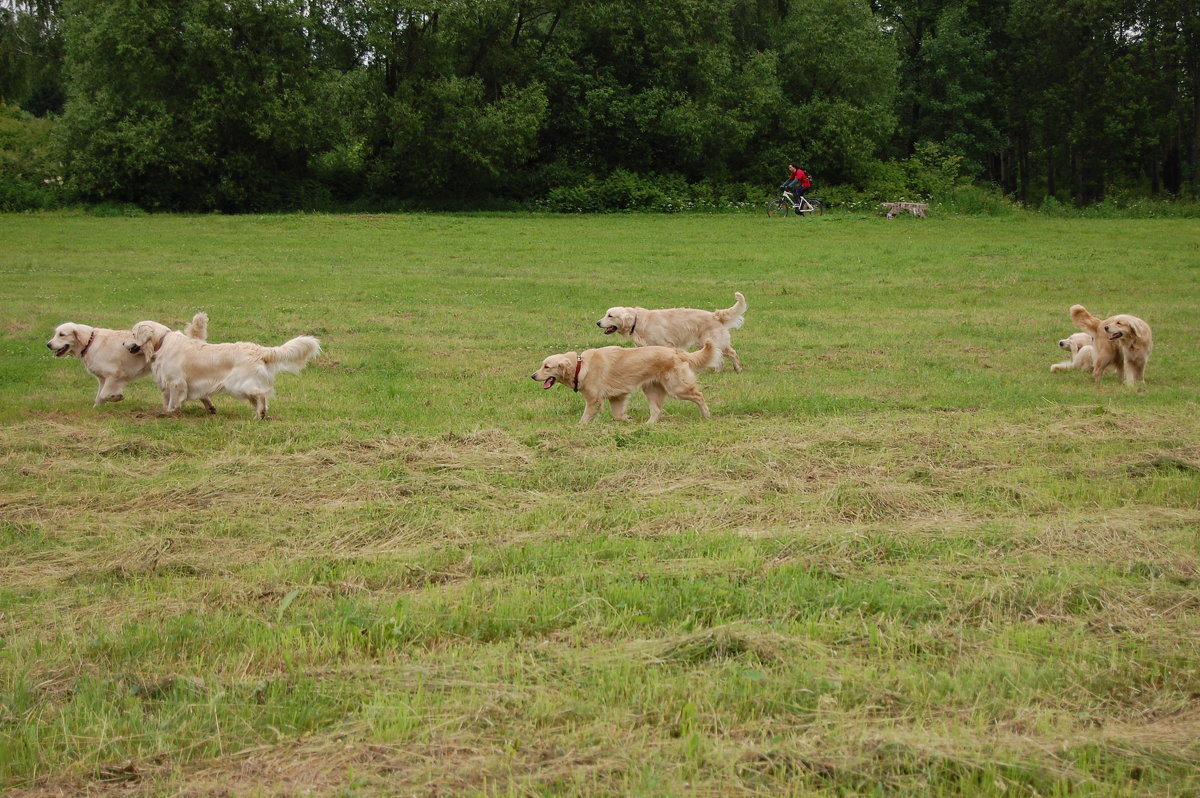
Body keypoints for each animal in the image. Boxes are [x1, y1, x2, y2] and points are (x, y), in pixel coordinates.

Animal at [46, 312, 210, 408]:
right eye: (55, 333)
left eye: (62, 334)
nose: (48, 344)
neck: (90, 342)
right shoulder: (102, 379)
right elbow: (99, 397)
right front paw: (97, 409)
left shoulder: (114, 375)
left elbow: (104, 394)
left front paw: (115, 397)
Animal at [124, 321, 321, 420]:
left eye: (132, 333)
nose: (123, 343)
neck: (161, 342)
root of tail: (258, 349)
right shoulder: (178, 383)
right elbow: (191, 397)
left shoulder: (176, 382)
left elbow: (173, 401)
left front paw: (170, 414)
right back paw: (261, 414)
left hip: (239, 385)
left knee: (261, 394)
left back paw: (260, 414)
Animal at [530, 338, 715, 422]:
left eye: (547, 367)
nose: (533, 376)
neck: (580, 366)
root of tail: (677, 352)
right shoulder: (617, 397)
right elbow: (618, 415)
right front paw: (628, 420)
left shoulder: (593, 400)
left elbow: (585, 418)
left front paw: (579, 427)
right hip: (651, 389)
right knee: (656, 411)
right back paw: (647, 425)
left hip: (676, 388)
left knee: (699, 396)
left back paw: (706, 415)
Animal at [595, 291, 744, 372]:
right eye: (606, 314)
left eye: (610, 315)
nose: (597, 323)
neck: (638, 321)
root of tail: (715, 315)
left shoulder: (665, 344)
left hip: (713, 341)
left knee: (731, 354)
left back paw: (737, 369)